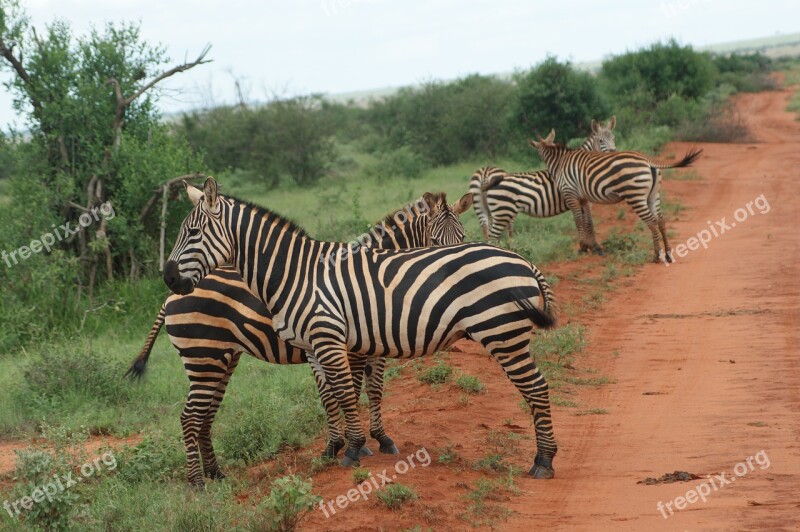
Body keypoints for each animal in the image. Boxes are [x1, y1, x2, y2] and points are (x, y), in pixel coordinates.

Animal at [129, 192, 476, 486]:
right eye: (434, 241)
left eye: (462, 239)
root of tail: (170, 296)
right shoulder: (349, 347)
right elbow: (346, 392)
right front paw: (354, 445)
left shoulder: (372, 345)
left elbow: (373, 391)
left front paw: (378, 439)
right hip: (204, 356)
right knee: (191, 416)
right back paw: (198, 482)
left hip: (221, 359)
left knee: (205, 416)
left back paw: (216, 474)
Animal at [468, 118, 620, 241]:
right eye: (601, 141)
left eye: (614, 138)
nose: (613, 153)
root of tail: (485, 173)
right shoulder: (584, 199)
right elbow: (586, 223)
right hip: (503, 211)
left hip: (483, 210)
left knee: (487, 232)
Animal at [528, 129, 704, 262]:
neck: (560, 162)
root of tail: (649, 162)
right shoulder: (583, 198)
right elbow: (588, 221)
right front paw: (592, 247)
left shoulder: (570, 194)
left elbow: (578, 221)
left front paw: (582, 247)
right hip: (653, 196)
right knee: (661, 220)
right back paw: (667, 254)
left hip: (635, 196)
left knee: (652, 222)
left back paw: (656, 256)